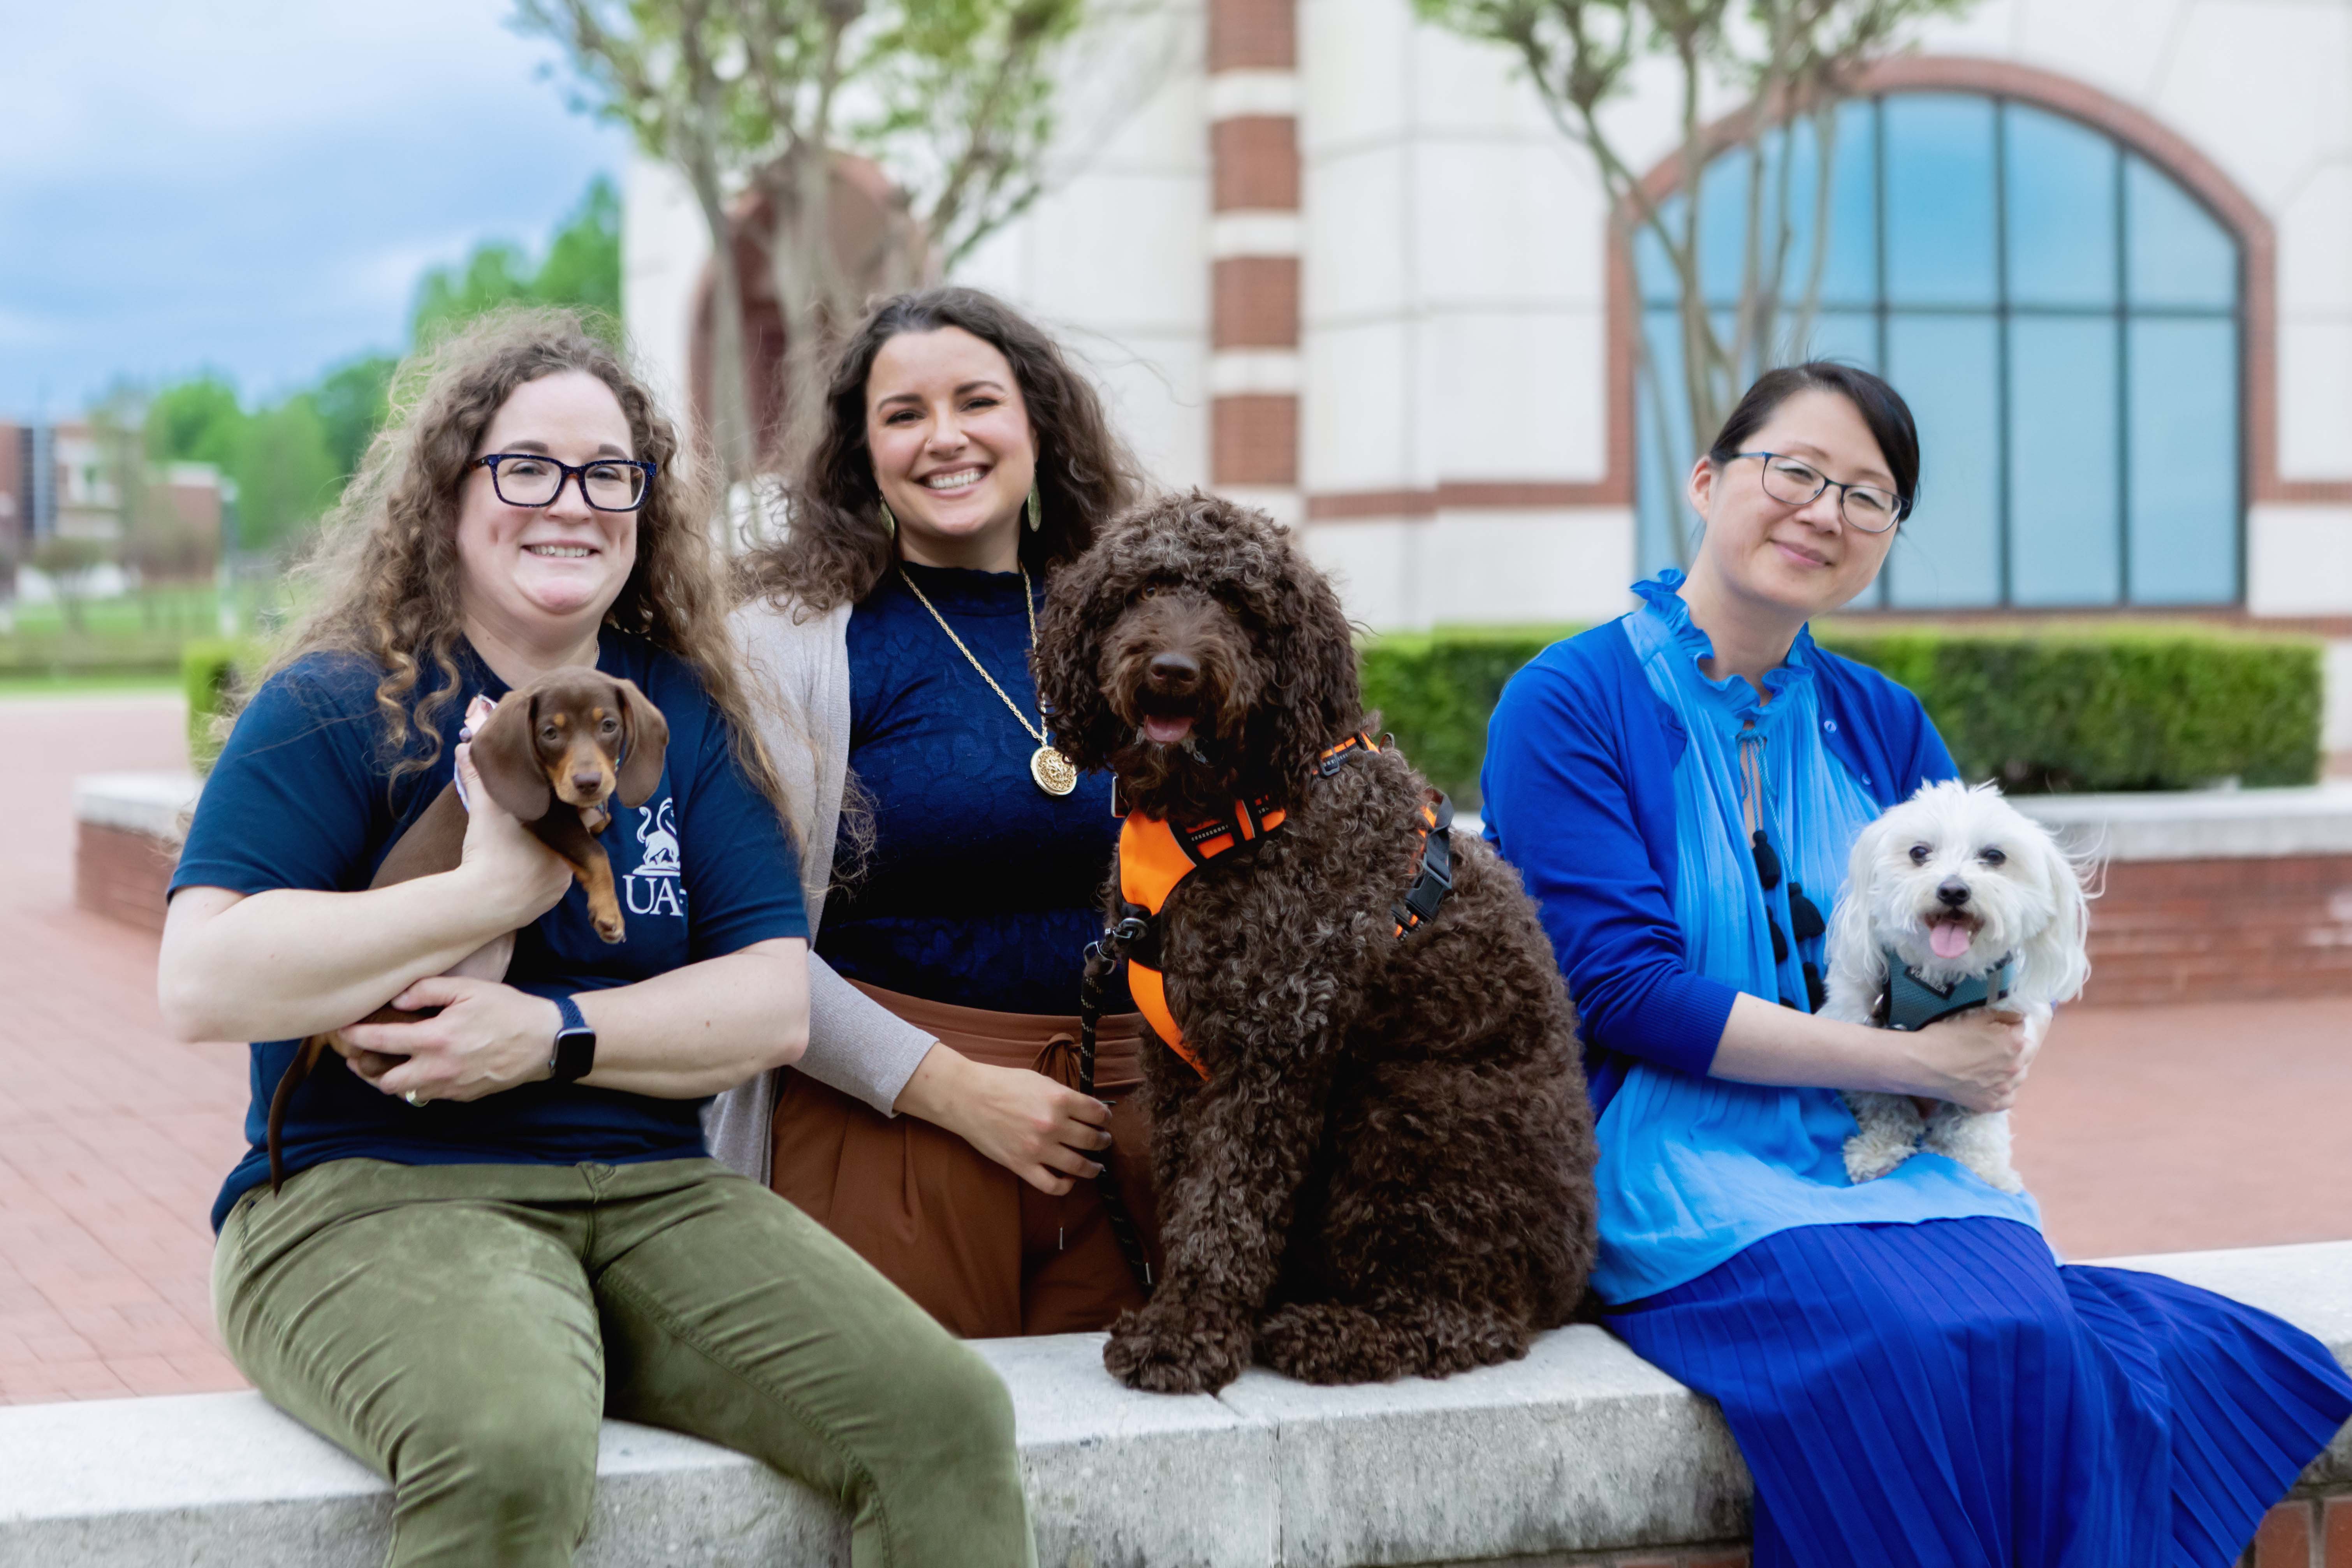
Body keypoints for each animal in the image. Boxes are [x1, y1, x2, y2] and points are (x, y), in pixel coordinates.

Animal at [1044, 493, 1609, 1401]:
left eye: (1240, 604)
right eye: (1147, 586)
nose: (1172, 669)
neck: (1228, 813)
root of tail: (1567, 1284)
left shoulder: (1272, 1051)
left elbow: (1226, 1204)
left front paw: (1184, 1335)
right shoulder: (1179, 1067)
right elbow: (1189, 1191)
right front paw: (1188, 1312)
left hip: (1411, 1118)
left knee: (1464, 1318)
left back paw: (1334, 1332)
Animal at [1825, 780, 2088, 1194]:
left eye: (1993, 856)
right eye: (1919, 852)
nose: (1952, 890)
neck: (1937, 980)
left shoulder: (1997, 1058)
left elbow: (1973, 1121)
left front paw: (1982, 1168)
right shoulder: (1860, 1023)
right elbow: (1882, 1095)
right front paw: (1879, 1149)